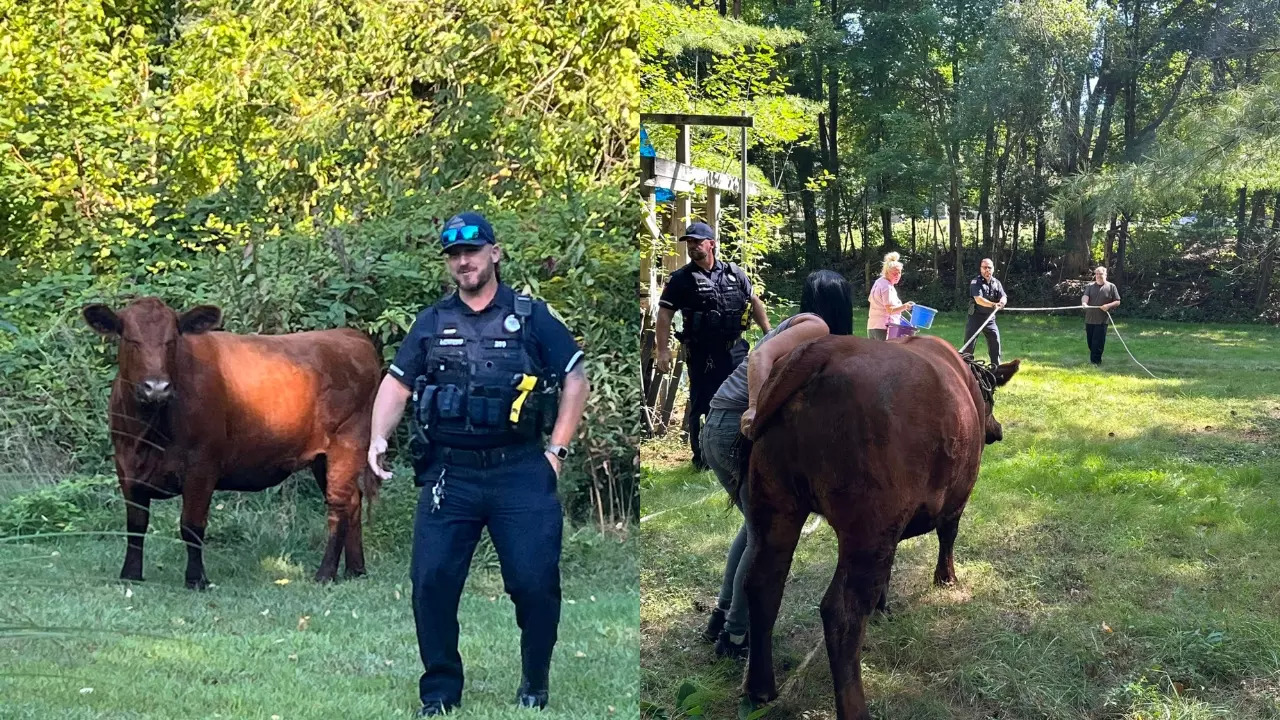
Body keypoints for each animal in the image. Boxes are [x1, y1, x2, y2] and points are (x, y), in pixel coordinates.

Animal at [83, 294, 378, 586]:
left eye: (172, 340)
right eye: (131, 340)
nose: (156, 387)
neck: (148, 434)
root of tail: (351, 336)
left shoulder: (202, 466)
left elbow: (191, 525)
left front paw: (196, 579)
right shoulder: (126, 466)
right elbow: (136, 524)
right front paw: (131, 574)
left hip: (347, 443)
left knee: (338, 506)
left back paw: (326, 573)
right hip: (322, 458)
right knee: (353, 501)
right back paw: (356, 569)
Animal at [742, 335, 1018, 717]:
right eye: (991, 400)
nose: (997, 429)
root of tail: (825, 349)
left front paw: (883, 604)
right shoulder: (956, 496)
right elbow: (948, 535)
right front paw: (946, 578)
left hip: (774, 506)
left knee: (763, 584)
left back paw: (760, 688)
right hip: (868, 527)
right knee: (841, 613)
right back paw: (856, 709)